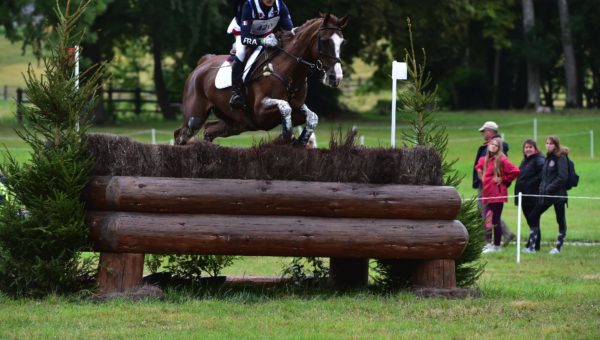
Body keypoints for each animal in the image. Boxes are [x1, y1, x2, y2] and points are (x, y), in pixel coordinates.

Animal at [173, 13, 346, 146]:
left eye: (341, 42)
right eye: (325, 41)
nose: (335, 77)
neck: (289, 70)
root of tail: (202, 63)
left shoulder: (297, 108)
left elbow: (312, 117)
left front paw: (300, 140)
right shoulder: (261, 110)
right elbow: (285, 108)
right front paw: (284, 137)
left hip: (238, 123)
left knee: (209, 129)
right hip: (196, 115)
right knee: (182, 134)